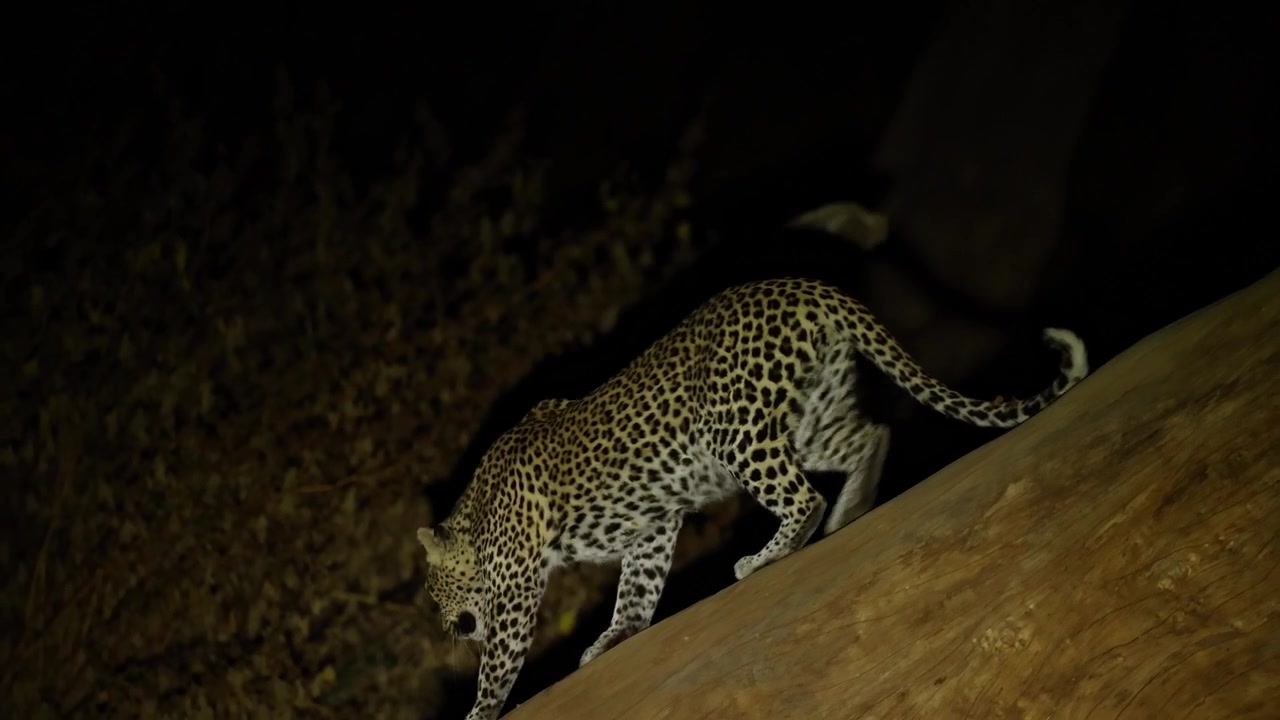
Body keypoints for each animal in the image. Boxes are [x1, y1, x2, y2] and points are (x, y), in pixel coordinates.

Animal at [416, 277, 1088, 720]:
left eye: (434, 594)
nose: (449, 628)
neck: (475, 515)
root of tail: (803, 284)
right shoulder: (650, 529)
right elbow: (637, 592)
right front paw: (614, 636)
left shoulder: (517, 587)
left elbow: (499, 664)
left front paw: (477, 712)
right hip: (808, 418)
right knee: (870, 435)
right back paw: (853, 510)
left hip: (733, 428)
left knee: (802, 496)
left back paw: (768, 554)